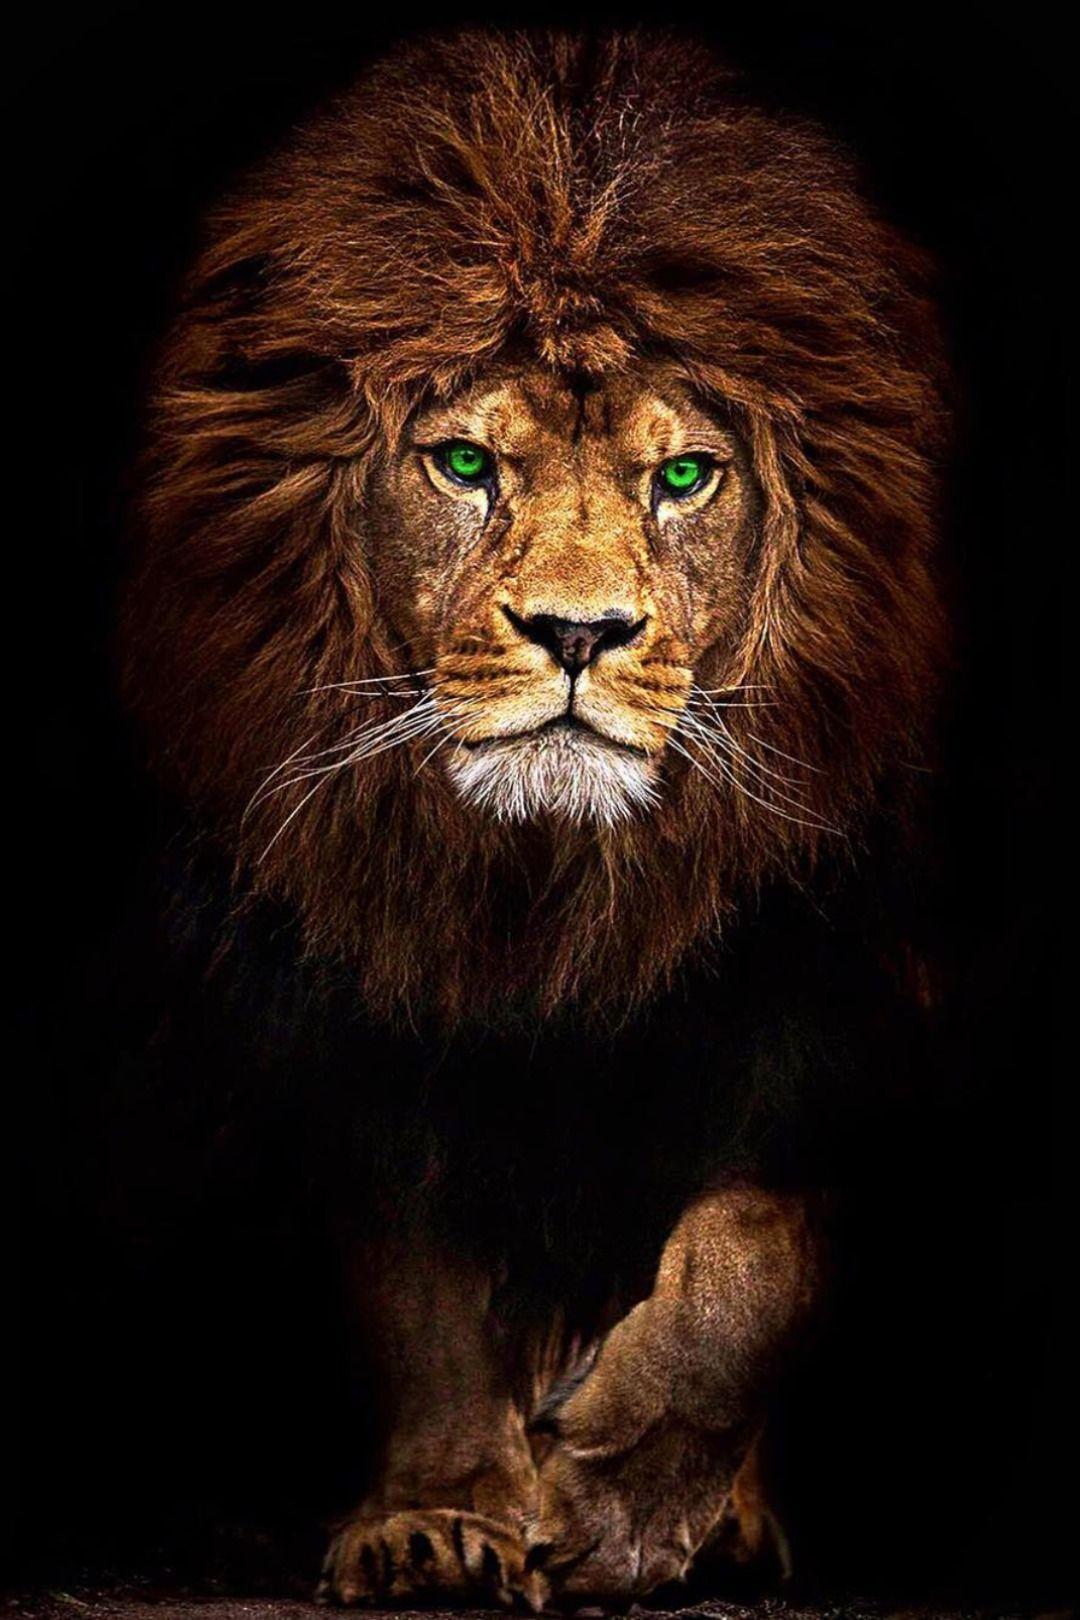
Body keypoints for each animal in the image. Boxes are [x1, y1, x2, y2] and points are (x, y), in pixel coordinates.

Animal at [124, 27, 947, 1608]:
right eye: (464, 465)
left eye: (683, 476)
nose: (577, 633)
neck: (550, 889)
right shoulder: (362, 990)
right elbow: (421, 1280)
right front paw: (445, 1516)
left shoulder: (851, 980)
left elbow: (754, 1249)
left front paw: (624, 1502)